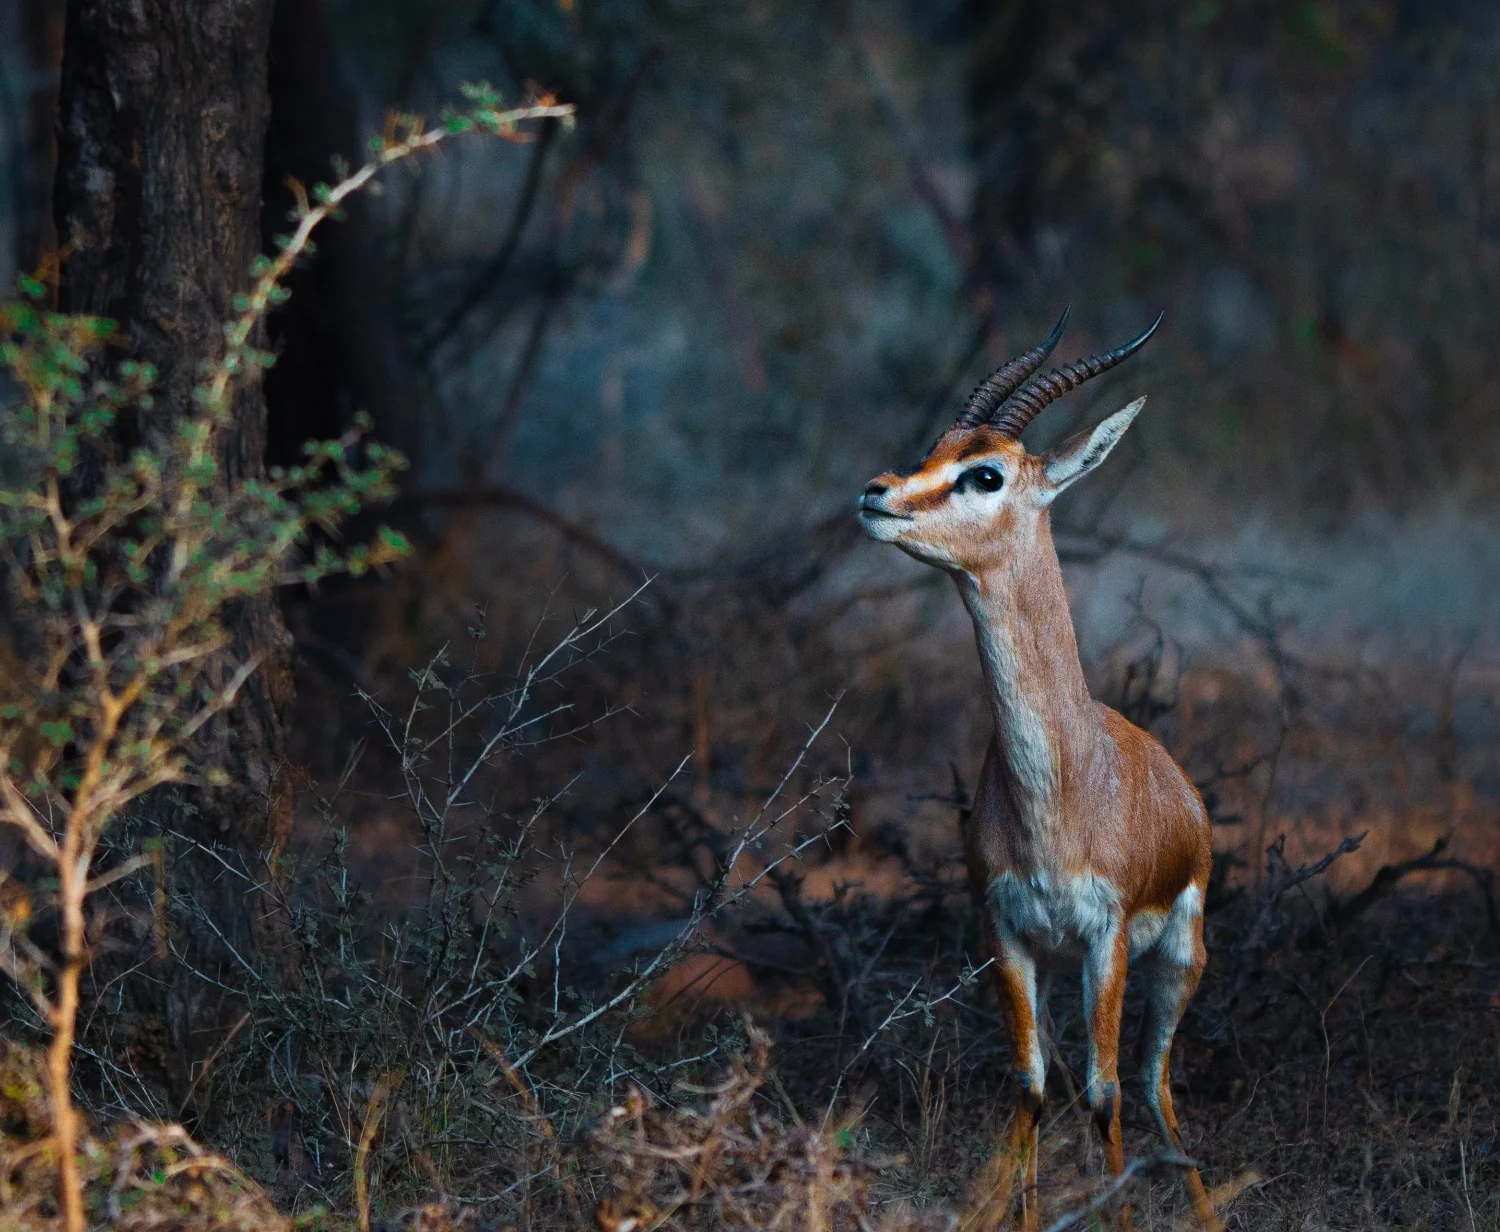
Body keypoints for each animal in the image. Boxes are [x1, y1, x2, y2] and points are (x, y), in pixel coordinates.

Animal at [858, 311, 1217, 1231]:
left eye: (984, 473)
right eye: (935, 447)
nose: (876, 492)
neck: (1059, 791)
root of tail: (1187, 796)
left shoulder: (1105, 941)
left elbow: (1104, 1094)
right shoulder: (1008, 936)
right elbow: (1030, 1087)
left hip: (1179, 962)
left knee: (1155, 1087)